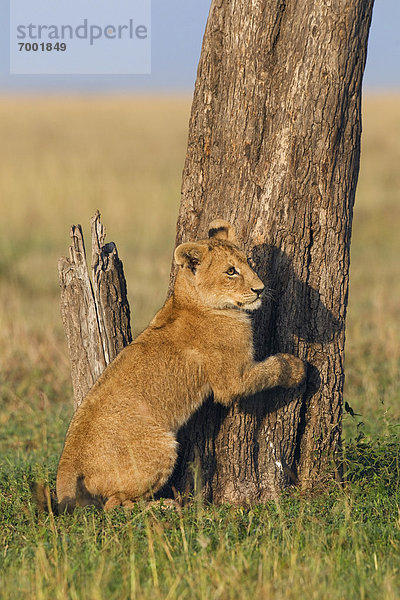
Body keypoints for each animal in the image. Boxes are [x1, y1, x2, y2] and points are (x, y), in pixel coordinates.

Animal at [54, 220, 304, 510]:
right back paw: (164, 505)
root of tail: (68, 460)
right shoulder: (232, 381)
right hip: (163, 446)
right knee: (115, 504)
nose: (260, 288)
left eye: (248, 262)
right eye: (231, 271)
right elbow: (272, 369)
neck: (187, 300)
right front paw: (297, 368)